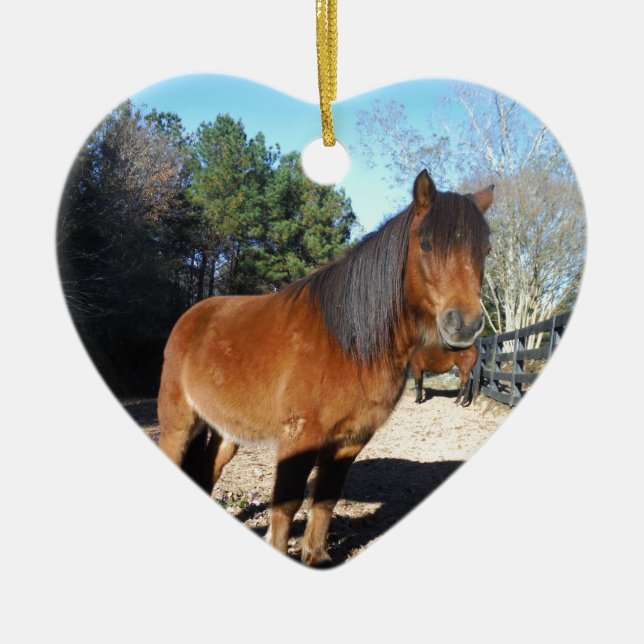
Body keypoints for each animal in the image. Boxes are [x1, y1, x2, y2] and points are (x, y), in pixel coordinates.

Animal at [157, 169, 493, 566]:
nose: (465, 325)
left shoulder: (350, 440)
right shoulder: (300, 438)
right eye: (425, 244)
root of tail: (191, 317)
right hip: (178, 426)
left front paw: (316, 557)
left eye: (485, 250)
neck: (349, 343)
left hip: (227, 432)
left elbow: (325, 501)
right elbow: (286, 506)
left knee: (209, 473)